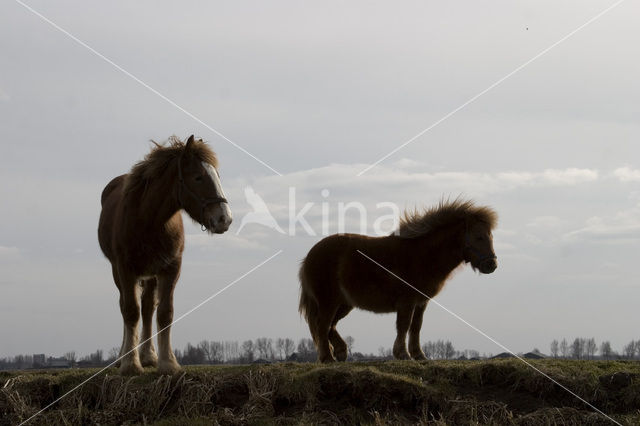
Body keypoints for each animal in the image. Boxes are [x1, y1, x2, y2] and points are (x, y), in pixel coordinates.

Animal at [98, 136, 232, 372]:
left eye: (217, 175)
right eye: (198, 177)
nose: (224, 219)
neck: (149, 220)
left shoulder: (171, 268)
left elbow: (164, 313)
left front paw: (168, 363)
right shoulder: (125, 269)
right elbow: (130, 311)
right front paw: (130, 365)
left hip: (151, 275)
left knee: (148, 308)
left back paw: (148, 355)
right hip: (121, 273)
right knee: (127, 306)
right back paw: (126, 355)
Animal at [298, 200, 498, 362]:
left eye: (491, 236)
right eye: (479, 237)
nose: (492, 264)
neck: (423, 255)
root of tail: (309, 256)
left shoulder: (421, 302)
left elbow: (416, 326)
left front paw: (419, 355)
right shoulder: (407, 302)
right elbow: (404, 325)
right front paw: (403, 354)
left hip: (344, 304)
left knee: (330, 326)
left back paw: (340, 352)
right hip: (329, 302)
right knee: (322, 325)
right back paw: (327, 358)